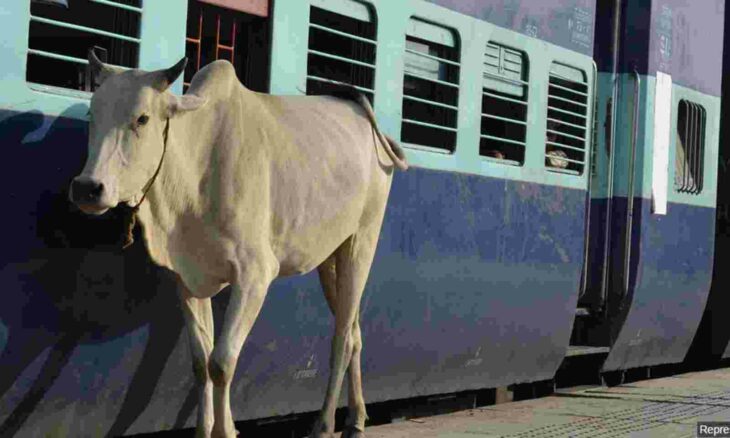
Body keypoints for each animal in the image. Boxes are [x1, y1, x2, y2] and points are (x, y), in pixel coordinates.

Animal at [70, 52, 406, 438]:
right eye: (92, 114)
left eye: (142, 118)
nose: (87, 188)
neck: (196, 167)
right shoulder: (186, 280)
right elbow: (201, 362)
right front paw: (206, 430)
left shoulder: (255, 275)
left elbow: (221, 363)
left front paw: (224, 430)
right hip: (330, 257)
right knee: (353, 330)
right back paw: (356, 418)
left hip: (362, 241)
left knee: (341, 338)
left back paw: (324, 424)